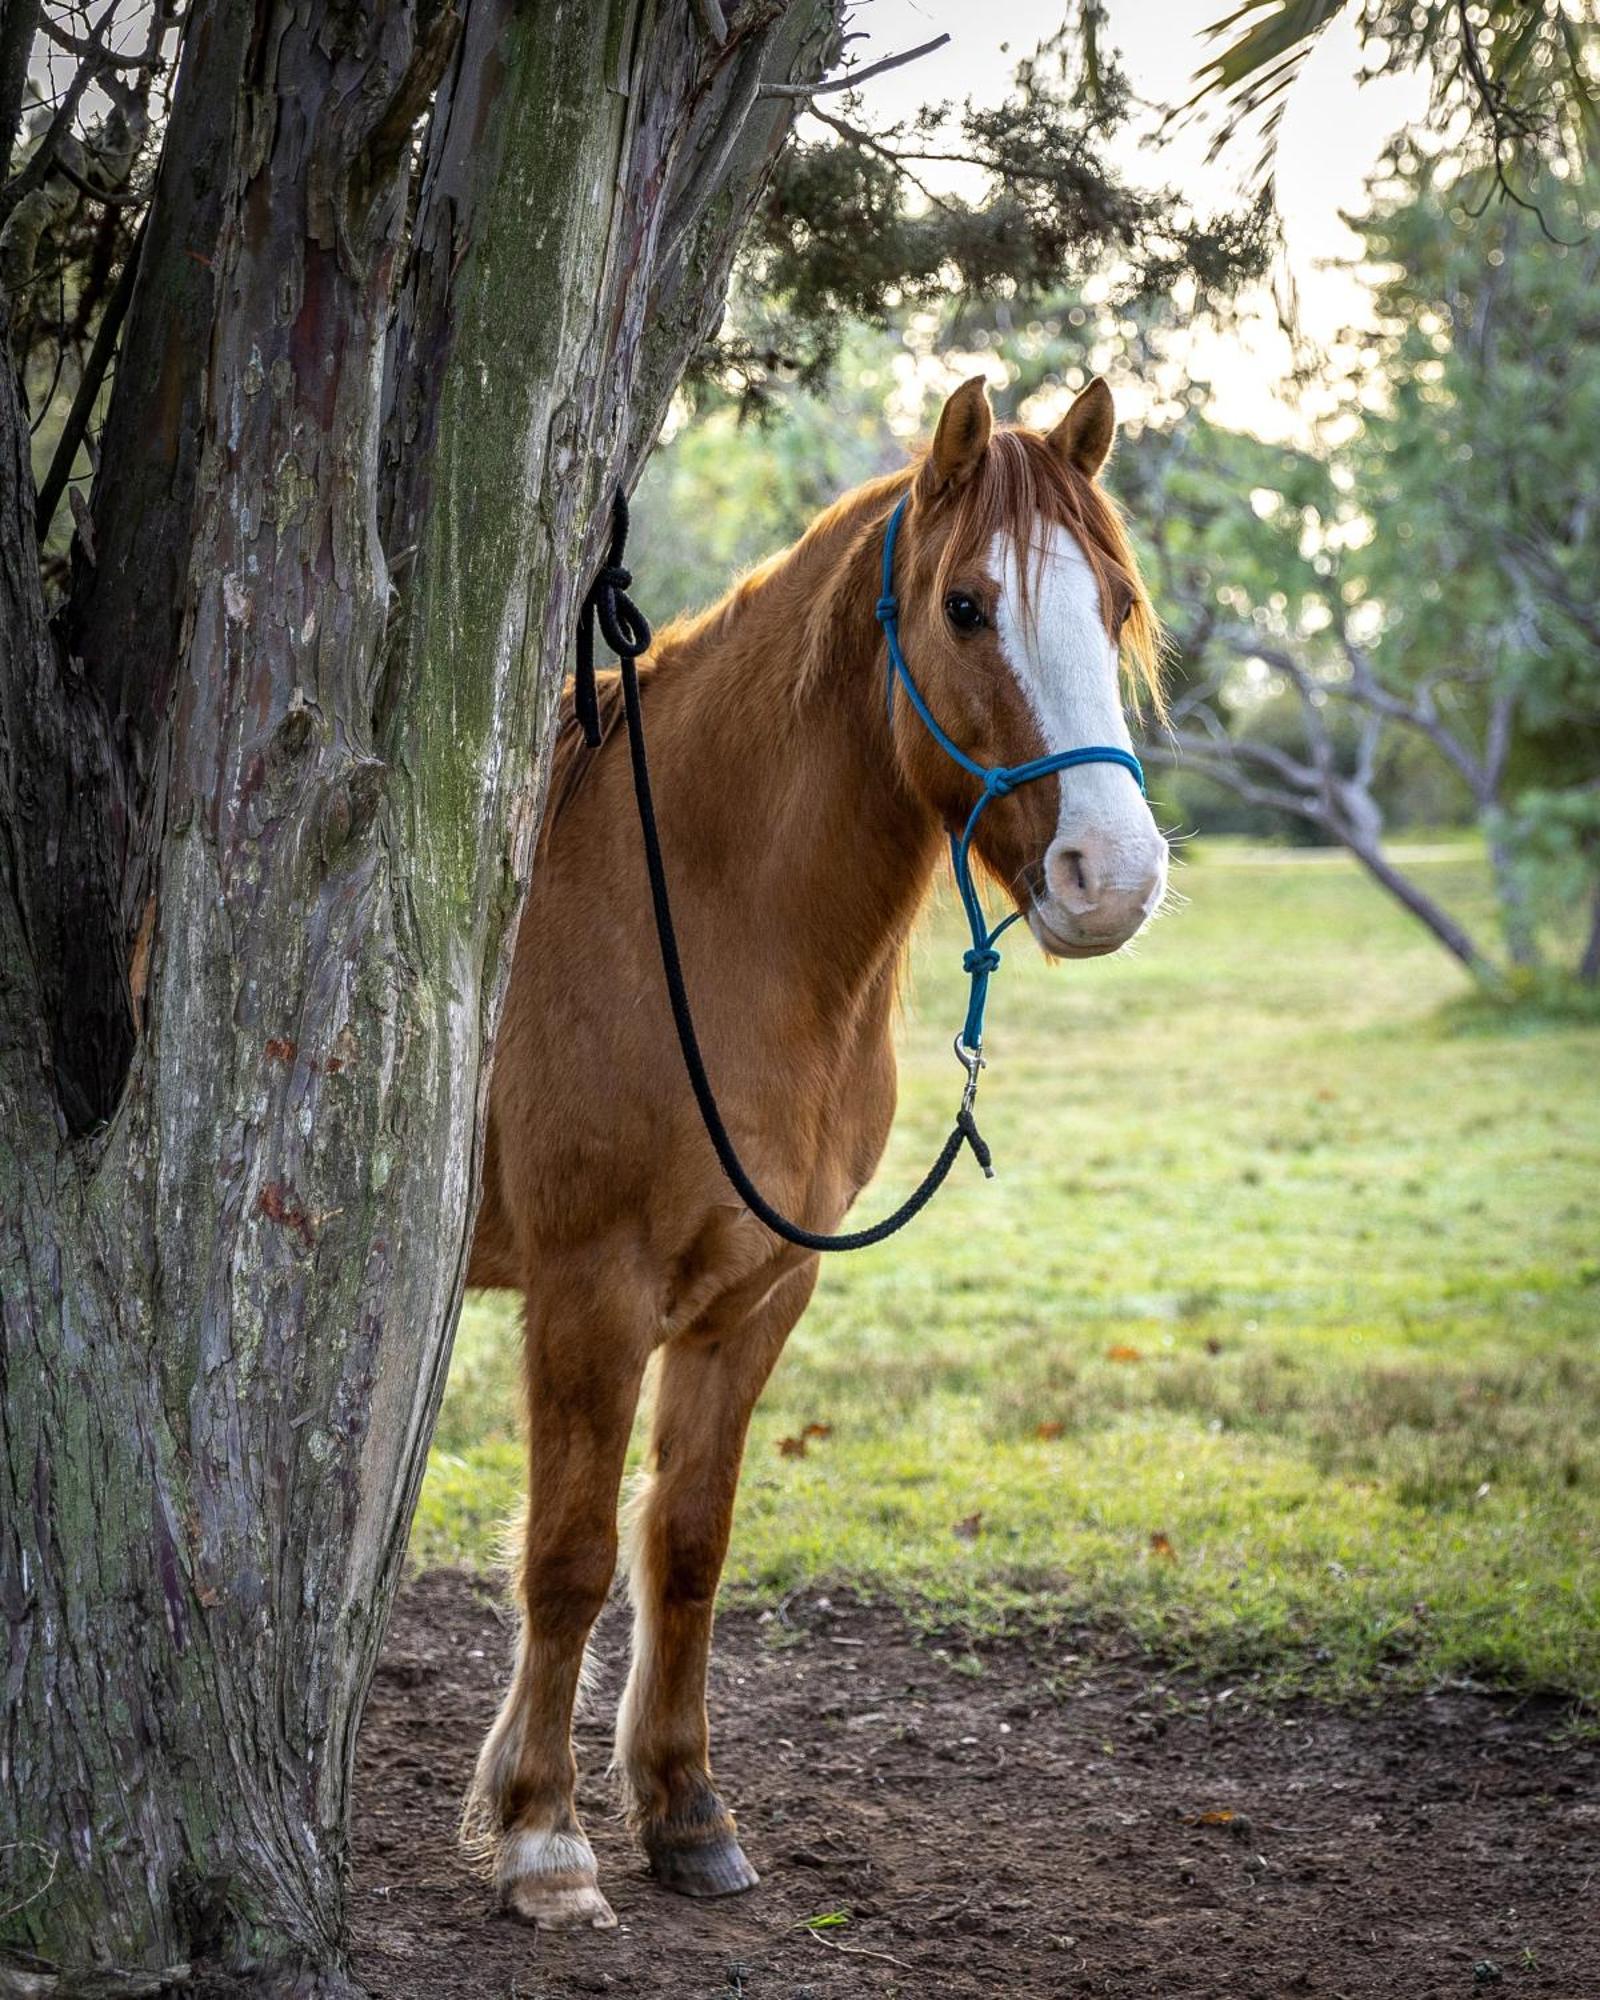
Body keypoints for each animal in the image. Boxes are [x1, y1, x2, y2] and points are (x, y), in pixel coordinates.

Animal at [460, 372, 1160, 1920]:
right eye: (967, 606)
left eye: (1117, 603)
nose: (1116, 876)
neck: (701, 916)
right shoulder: (590, 1293)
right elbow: (568, 1552)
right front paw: (544, 1836)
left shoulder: (760, 1292)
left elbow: (688, 1543)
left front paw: (683, 1809)